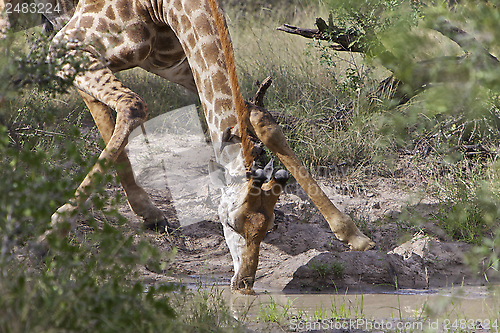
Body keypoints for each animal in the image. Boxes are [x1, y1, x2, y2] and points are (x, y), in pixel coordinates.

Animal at [22, 0, 376, 294]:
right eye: (231, 223)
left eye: (270, 226)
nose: (244, 283)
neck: (162, 8)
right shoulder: (69, 43)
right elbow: (133, 105)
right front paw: (45, 238)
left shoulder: (172, 62)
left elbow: (259, 119)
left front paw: (354, 236)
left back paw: (150, 213)